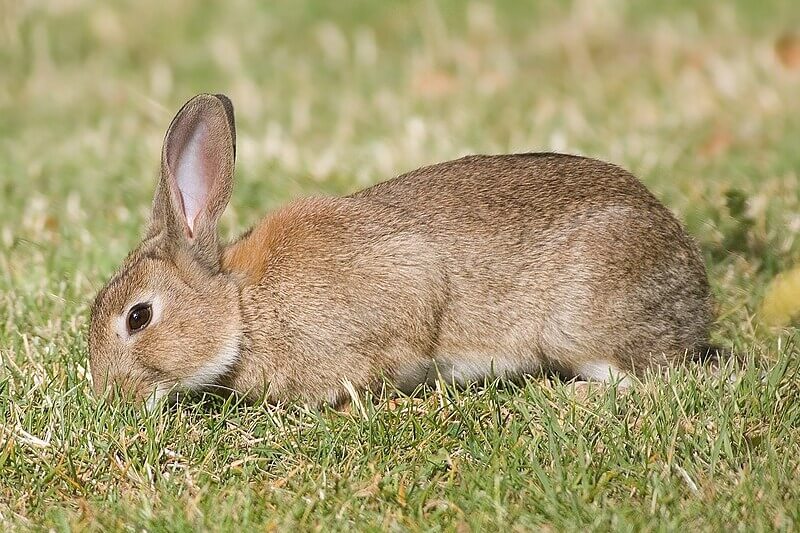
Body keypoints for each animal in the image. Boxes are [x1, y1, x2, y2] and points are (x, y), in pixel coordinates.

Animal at [89, 92, 720, 408]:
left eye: (138, 317)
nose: (109, 397)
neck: (242, 310)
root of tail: (695, 289)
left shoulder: (402, 287)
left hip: (581, 322)